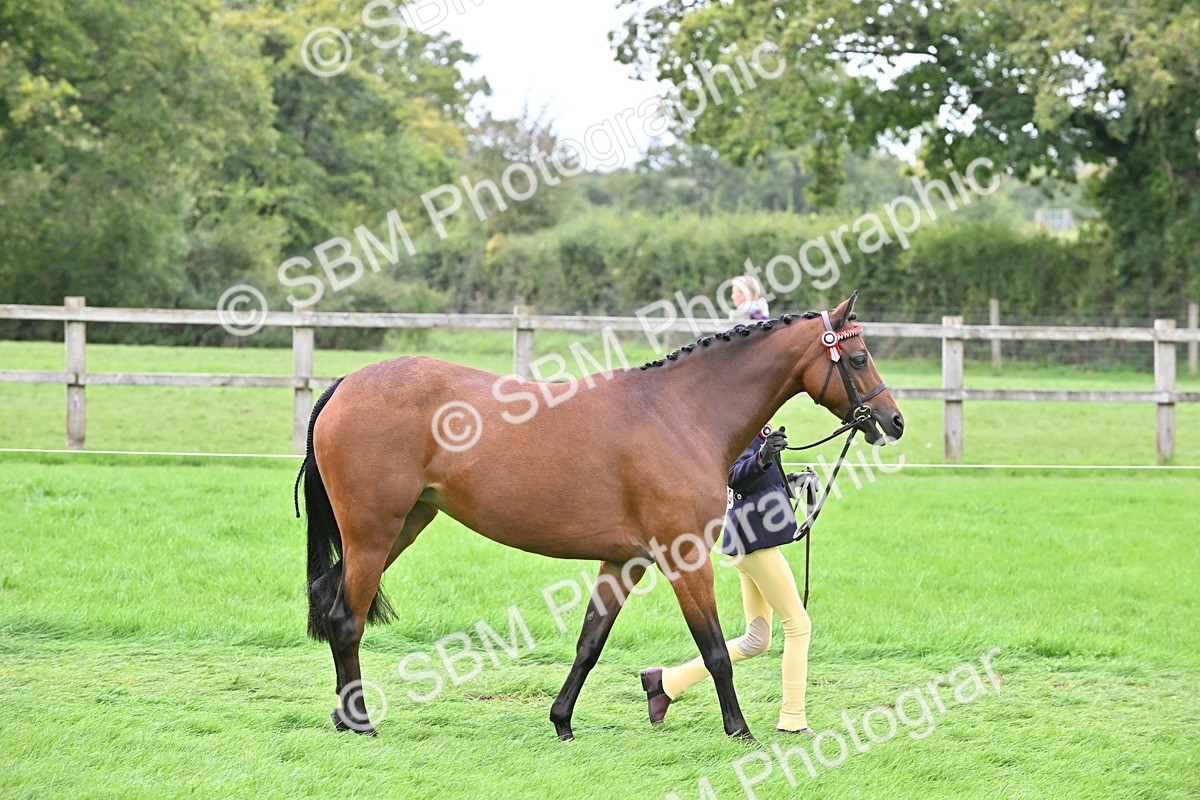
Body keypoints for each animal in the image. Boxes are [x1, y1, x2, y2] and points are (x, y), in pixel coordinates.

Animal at [296, 290, 904, 740]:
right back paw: (360, 720)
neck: (680, 412)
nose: (892, 421)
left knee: (329, 598)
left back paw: (342, 715)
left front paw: (561, 721)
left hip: (402, 526)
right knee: (346, 617)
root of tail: (345, 385)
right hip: (373, 532)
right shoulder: (685, 558)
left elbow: (590, 643)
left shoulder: (624, 561)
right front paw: (740, 729)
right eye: (857, 358)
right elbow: (713, 649)